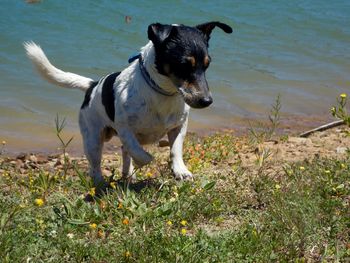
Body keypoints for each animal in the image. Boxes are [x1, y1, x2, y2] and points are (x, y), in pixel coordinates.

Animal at [24, 21, 232, 194]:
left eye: (207, 65)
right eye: (183, 64)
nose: (207, 101)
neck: (163, 93)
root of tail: (92, 85)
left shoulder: (178, 126)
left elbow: (175, 149)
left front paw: (180, 170)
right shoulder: (125, 129)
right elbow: (140, 153)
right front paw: (145, 160)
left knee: (124, 153)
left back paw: (127, 174)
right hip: (93, 139)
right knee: (96, 164)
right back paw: (100, 183)